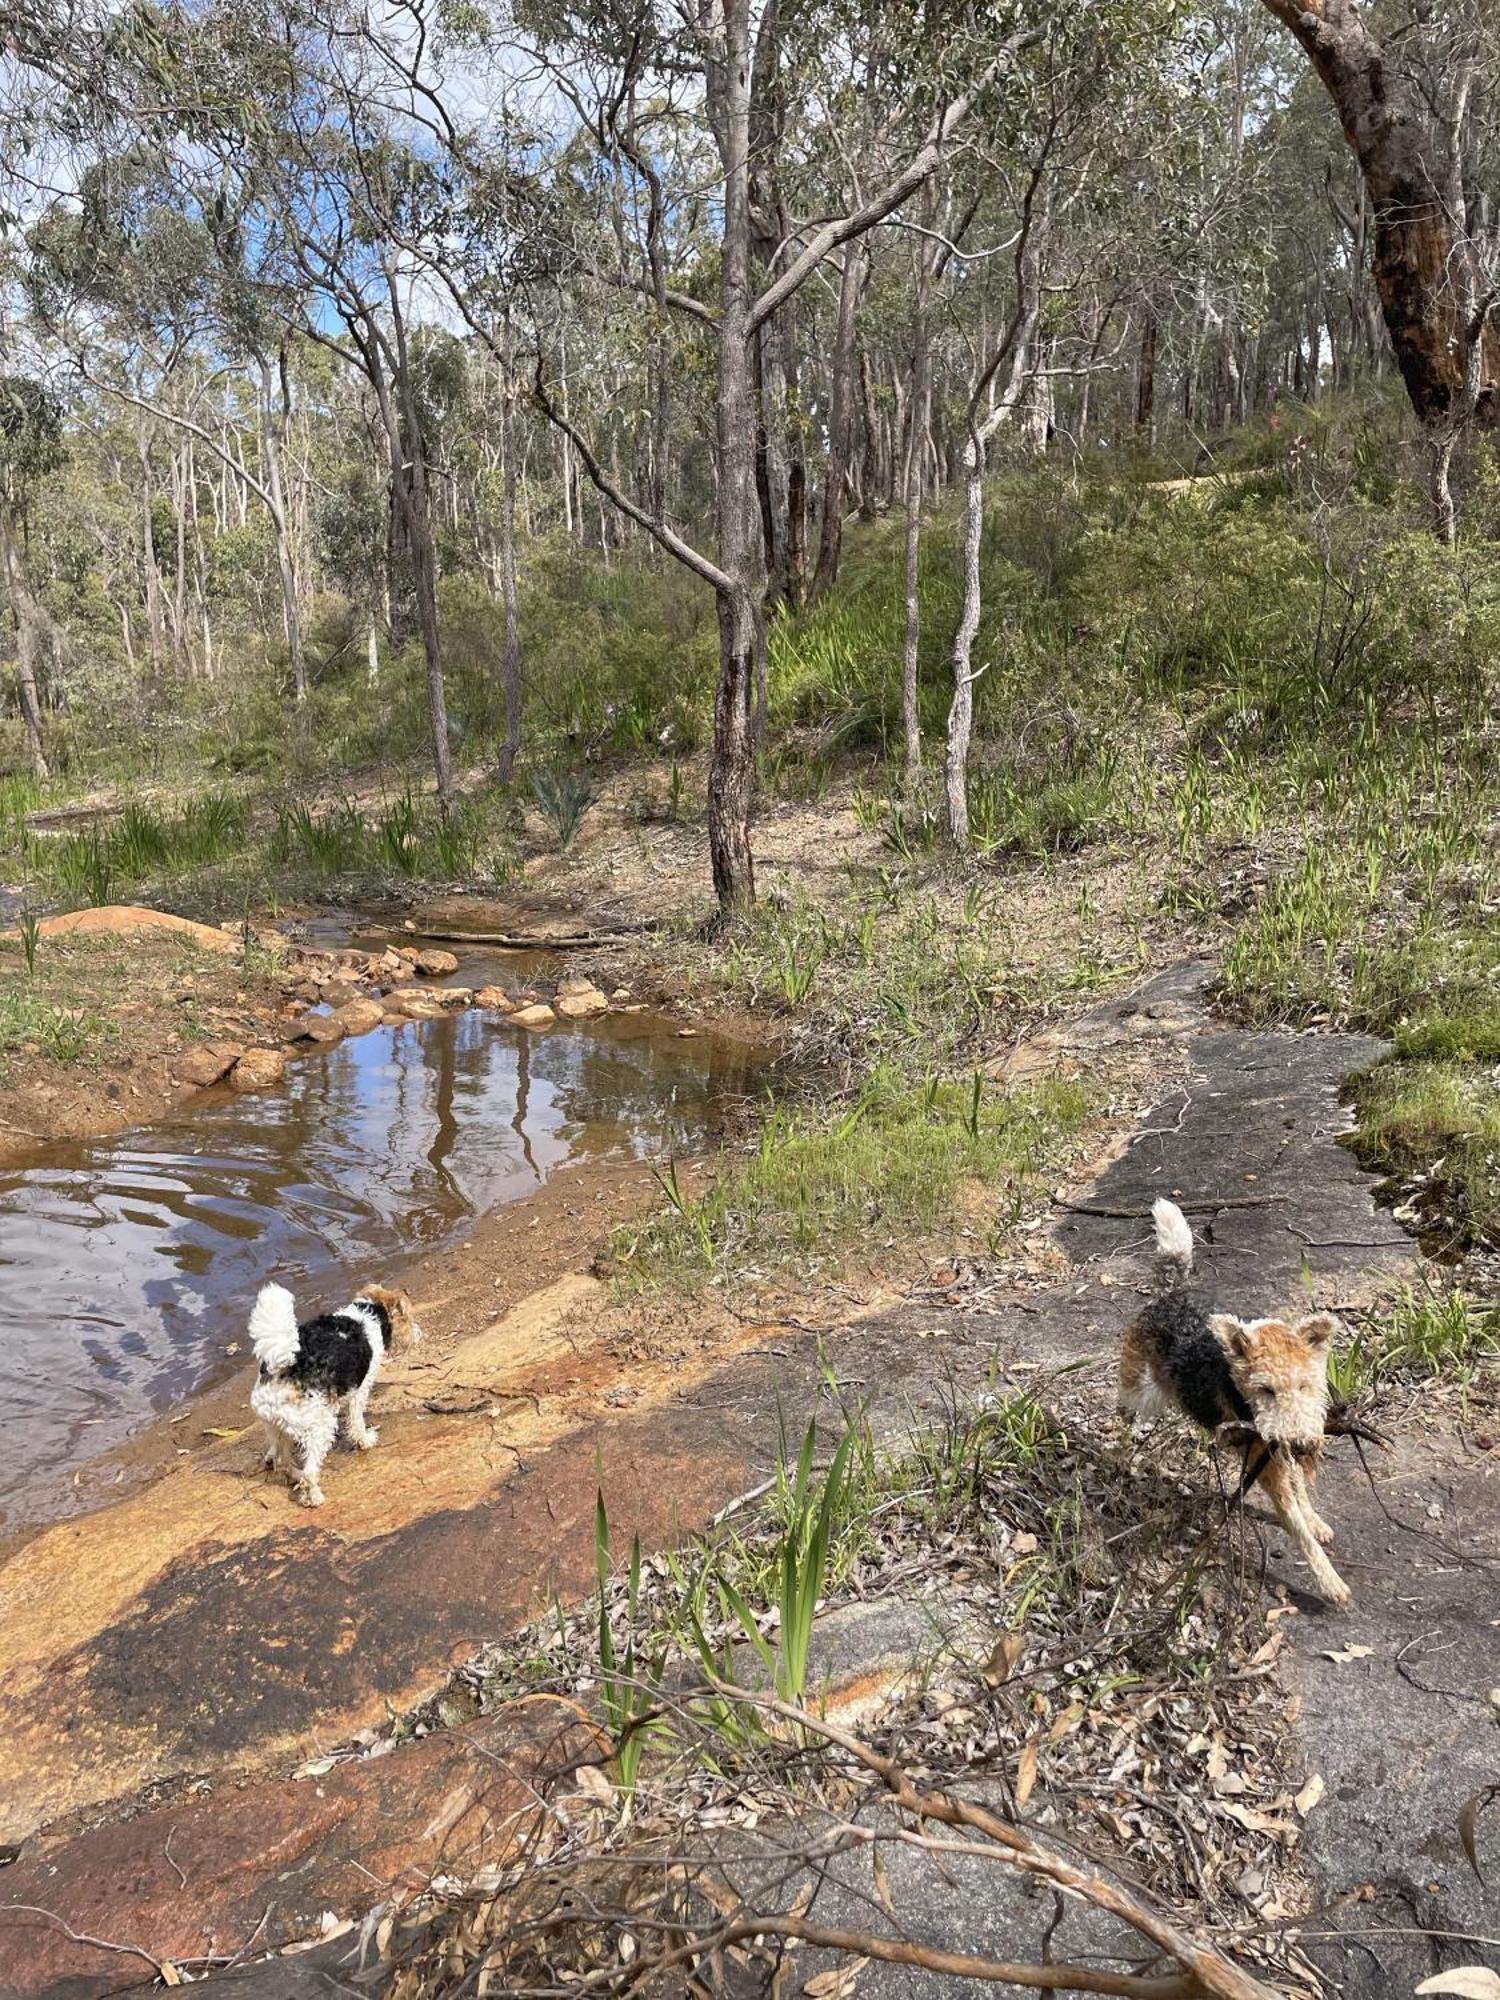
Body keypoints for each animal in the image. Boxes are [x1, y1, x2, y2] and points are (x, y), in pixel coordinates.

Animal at [248, 1280, 424, 1504]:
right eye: (408, 1317)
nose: (419, 1334)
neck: (369, 1313)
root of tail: (281, 1366)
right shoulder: (360, 1391)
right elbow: (357, 1423)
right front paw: (365, 1441)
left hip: (276, 1425)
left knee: (283, 1460)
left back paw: (296, 1475)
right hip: (319, 1426)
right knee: (310, 1471)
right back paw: (314, 1497)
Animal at [1120, 1200, 1352, 1608]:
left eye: (1305, 1385)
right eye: (1265, 1390)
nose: (1302, 1444)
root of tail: (1171, 1293)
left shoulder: (1279, 1456)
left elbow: (1301, 1494)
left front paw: (1316, 1521)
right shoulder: (1270, 1470)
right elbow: (1299, 1531)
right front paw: (1331, 1583)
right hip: (1142, 1387)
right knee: (1126, 1402)